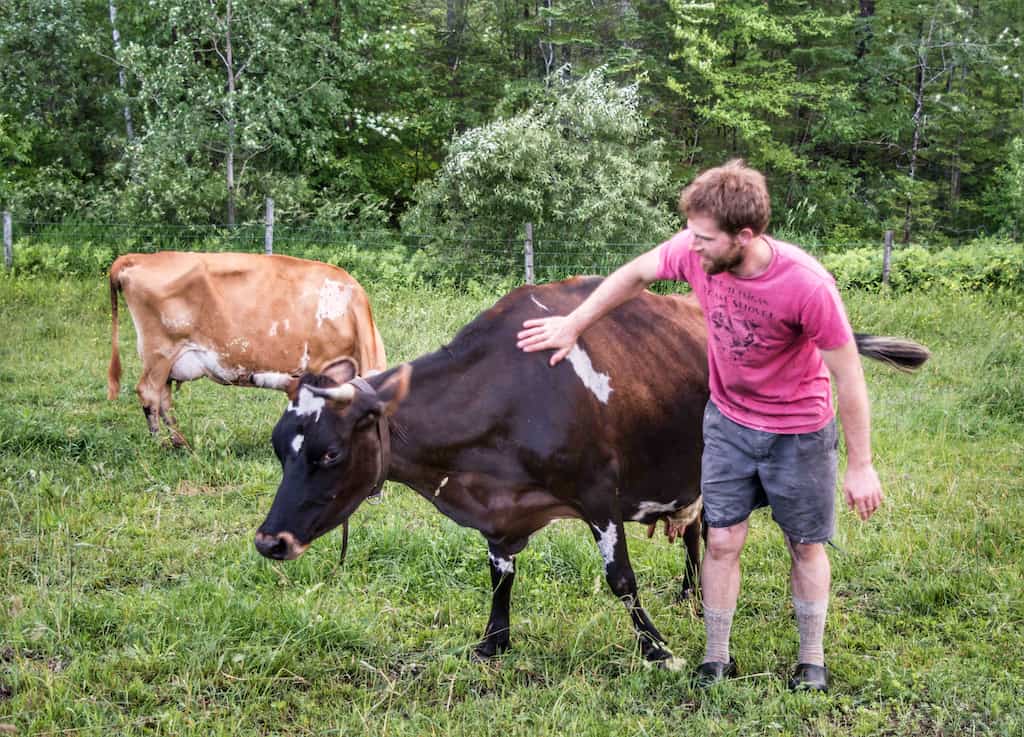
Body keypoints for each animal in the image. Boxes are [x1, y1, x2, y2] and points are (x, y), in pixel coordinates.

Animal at [107, 253, 387, 446]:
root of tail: (138, 257)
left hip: (167, 359)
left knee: (163, 398)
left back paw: (179, 443)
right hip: (159, 352)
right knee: (149, 392)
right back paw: (160, 443)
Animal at [253, 274, 929, 663]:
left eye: (329, 454)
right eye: (279, 448)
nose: (268, 540)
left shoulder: (600, 495)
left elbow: (621, 579)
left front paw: (656, 650)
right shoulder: (502, 514)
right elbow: (500, 577)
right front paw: (493, 642)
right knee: (697, 528)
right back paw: (691, 591)